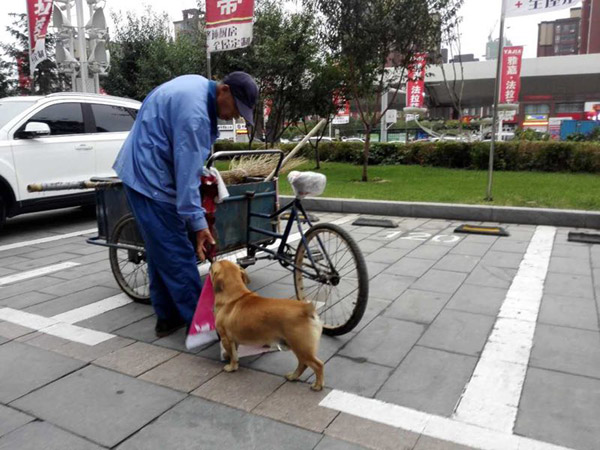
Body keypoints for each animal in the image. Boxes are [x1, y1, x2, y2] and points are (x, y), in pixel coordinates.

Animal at [210, 260, 324, 390]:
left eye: (212, 268)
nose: (212, 262)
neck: (235, 295)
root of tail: (305, 309)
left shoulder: (225, 338)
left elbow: (233, 355)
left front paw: (231, 366)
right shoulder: (233, 340)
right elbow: (234, 352)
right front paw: (228, 357)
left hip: (301, 347)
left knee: (317, 365)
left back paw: (317, 385)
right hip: (298, 347)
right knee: (303, 364)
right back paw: (293, 376)